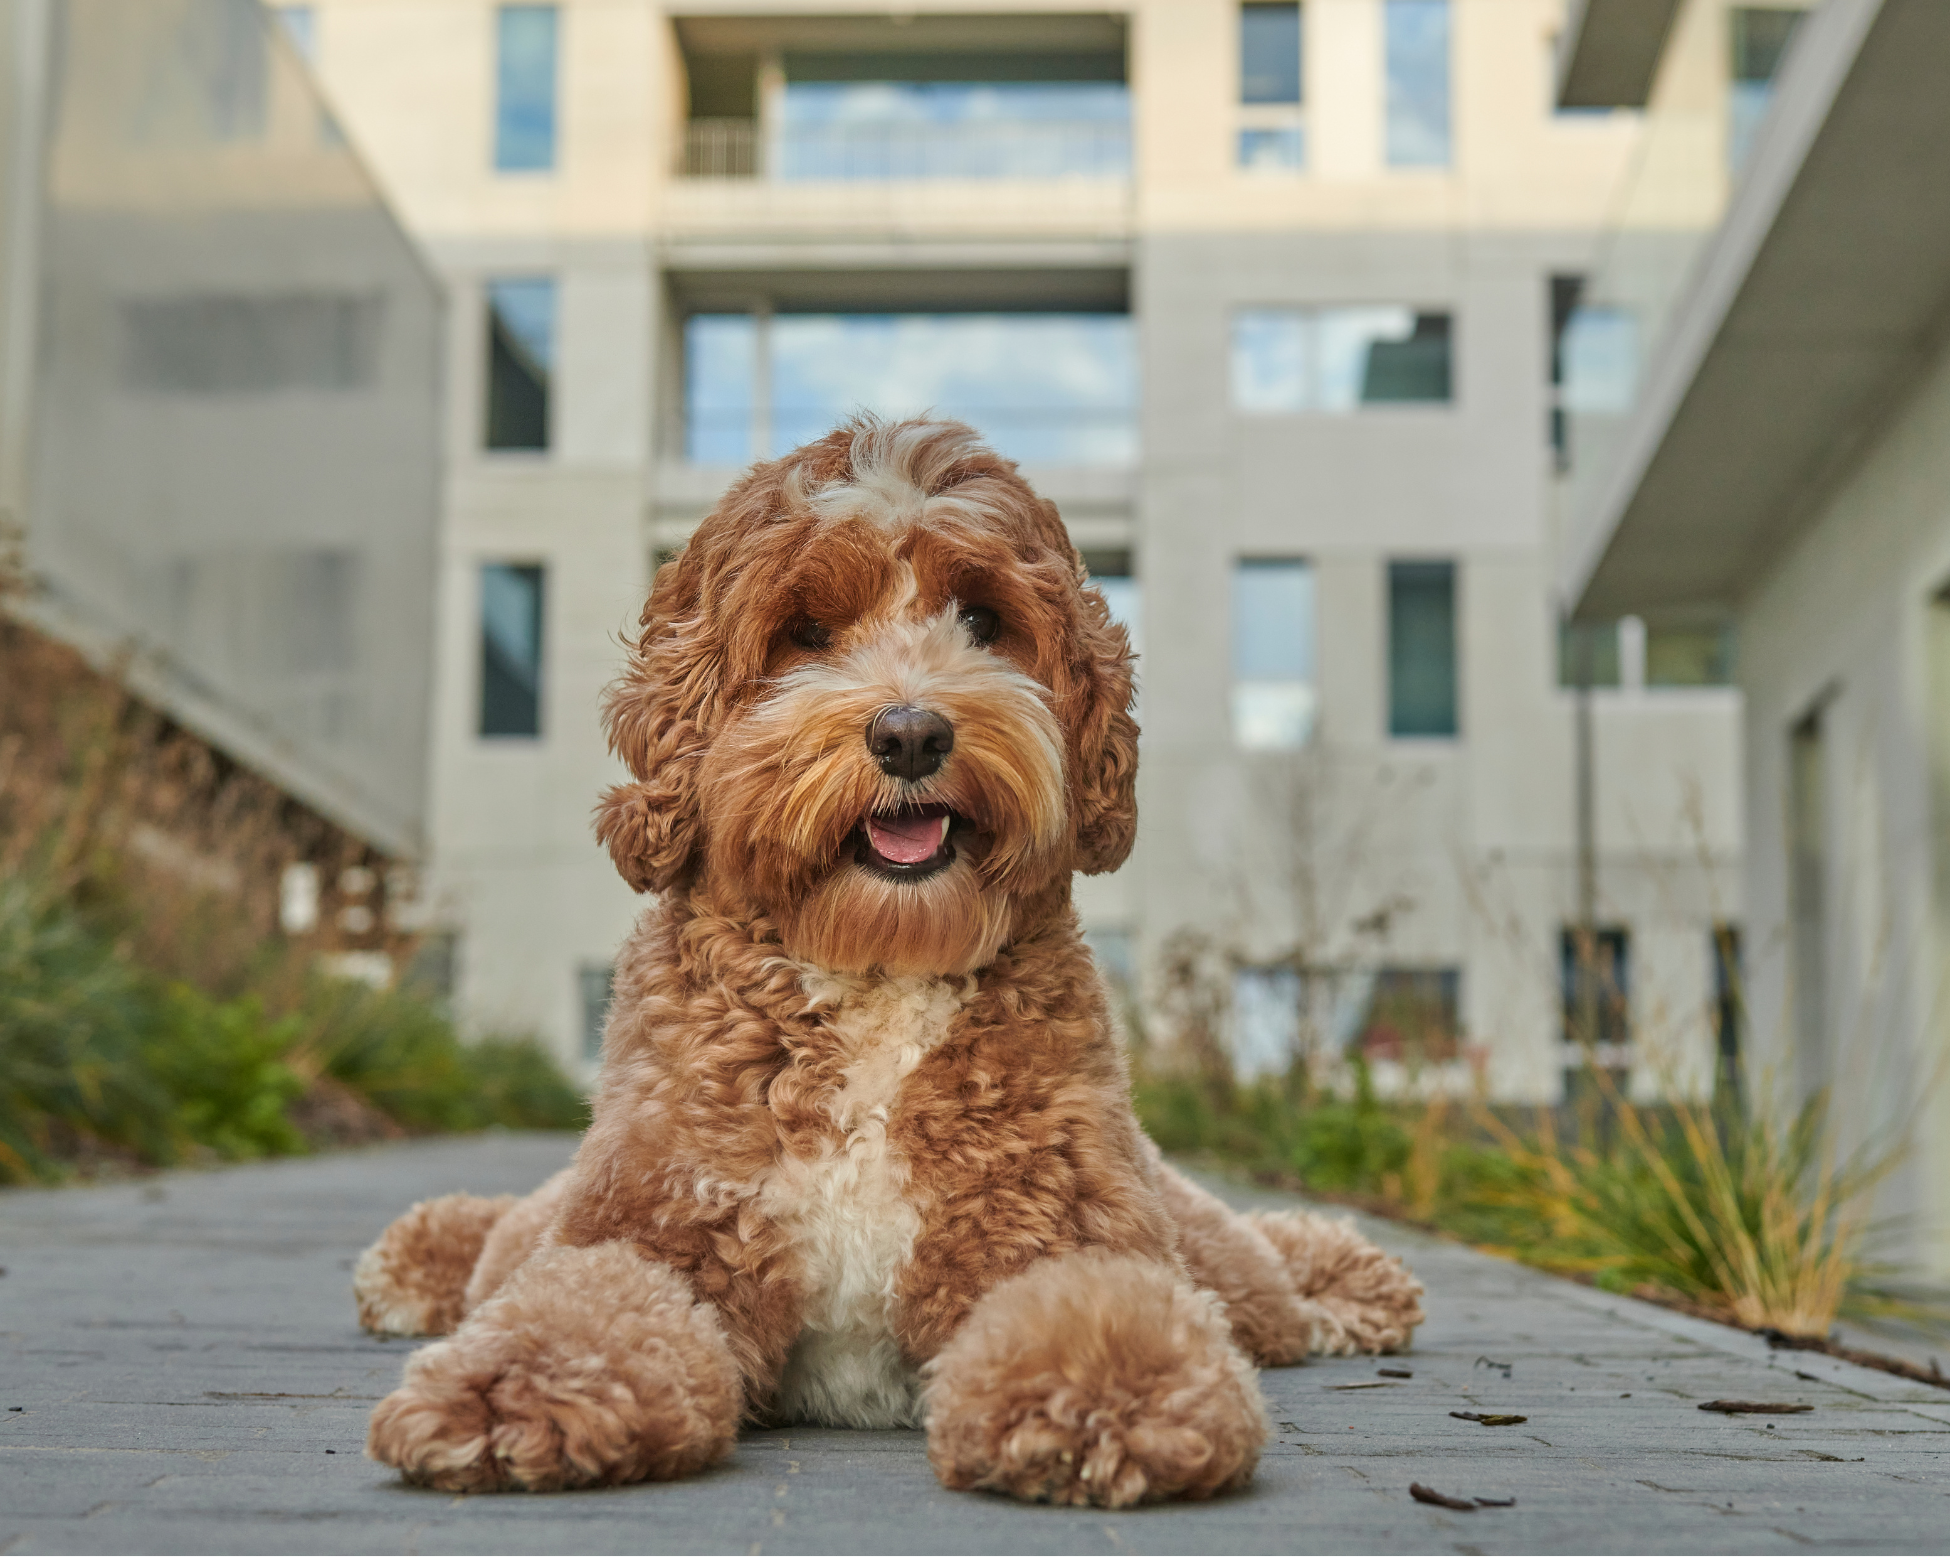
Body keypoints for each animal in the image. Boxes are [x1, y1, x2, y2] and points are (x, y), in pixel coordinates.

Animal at [354, 417, 1419, 1514]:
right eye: (806, 631)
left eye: (984, 619)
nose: (912, 731)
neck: (877, 964)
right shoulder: (654, 1218)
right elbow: (580, 1302)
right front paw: (511, 1390)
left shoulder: (1060, 1223)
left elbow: (1099, 1305)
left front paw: (1106, 1394)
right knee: (509, 1234)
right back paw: (424, 1256)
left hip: (1191, 1230)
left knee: (1258, 1277)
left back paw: (1346, 1276)